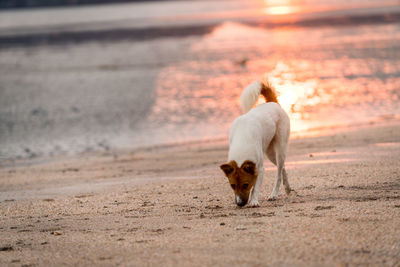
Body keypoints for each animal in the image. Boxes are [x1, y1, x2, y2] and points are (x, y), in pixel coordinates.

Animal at [220, 79, 292, 207]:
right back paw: (287, 188)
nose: (239, 204)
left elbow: (255, 189)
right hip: (270, 153)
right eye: (232, 186)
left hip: (280, 149)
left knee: (278, 173)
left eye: (246, 185)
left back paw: (274, 194)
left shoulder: (260, 170)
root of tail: (272, 102)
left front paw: (254, 201)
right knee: (282, 167)